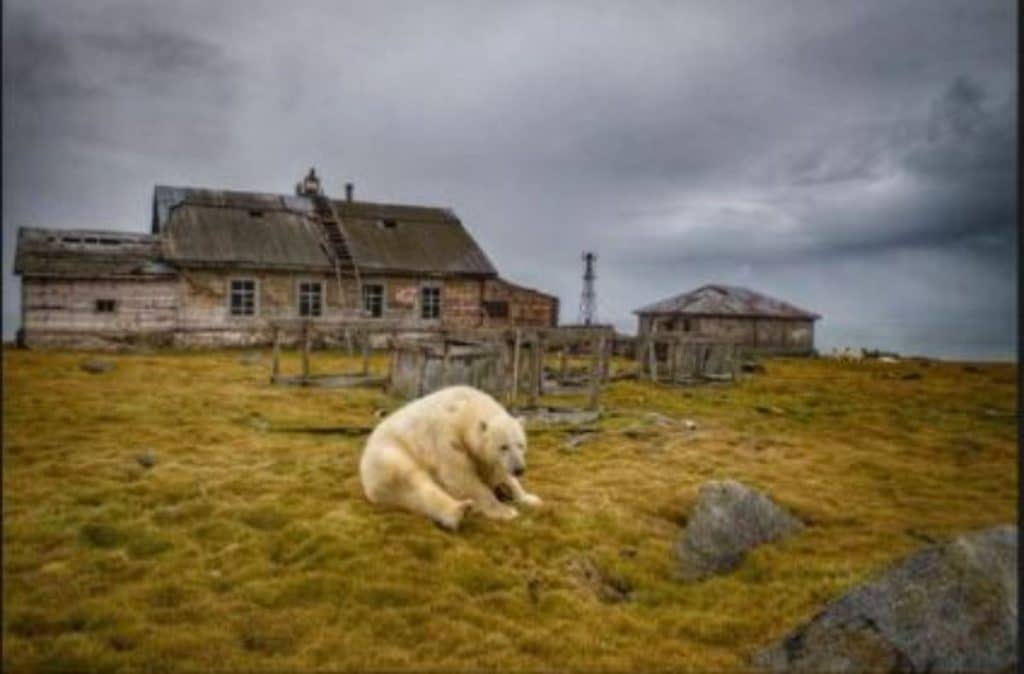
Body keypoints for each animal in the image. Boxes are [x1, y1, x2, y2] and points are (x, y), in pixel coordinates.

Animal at [360, 383, 544, 528]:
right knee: (413, 481)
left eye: (521, 445)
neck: (465, 408)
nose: (519, 469)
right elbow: (460, 476)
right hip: (390, 455)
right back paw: (459, 510)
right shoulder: (447, 437)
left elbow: (498, 472)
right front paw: (505, 511)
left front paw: (530, 498)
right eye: (503, 447)